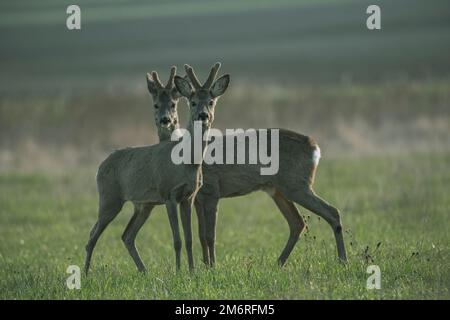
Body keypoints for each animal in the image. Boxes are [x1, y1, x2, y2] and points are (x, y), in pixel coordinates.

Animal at [84, 63, 230, 274]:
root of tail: (100, 166)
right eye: (193, 102)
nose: (203, 115)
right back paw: (86, 273)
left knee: (127, 235)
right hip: (109, 198)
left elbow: (189, 239)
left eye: (211, 102)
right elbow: (177, 240)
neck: (186, 162)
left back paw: (143, 271)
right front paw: (178, 271)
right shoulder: (168, 193)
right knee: (92, 234)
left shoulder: (188, 197)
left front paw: (192, 271)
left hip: (143, 205)